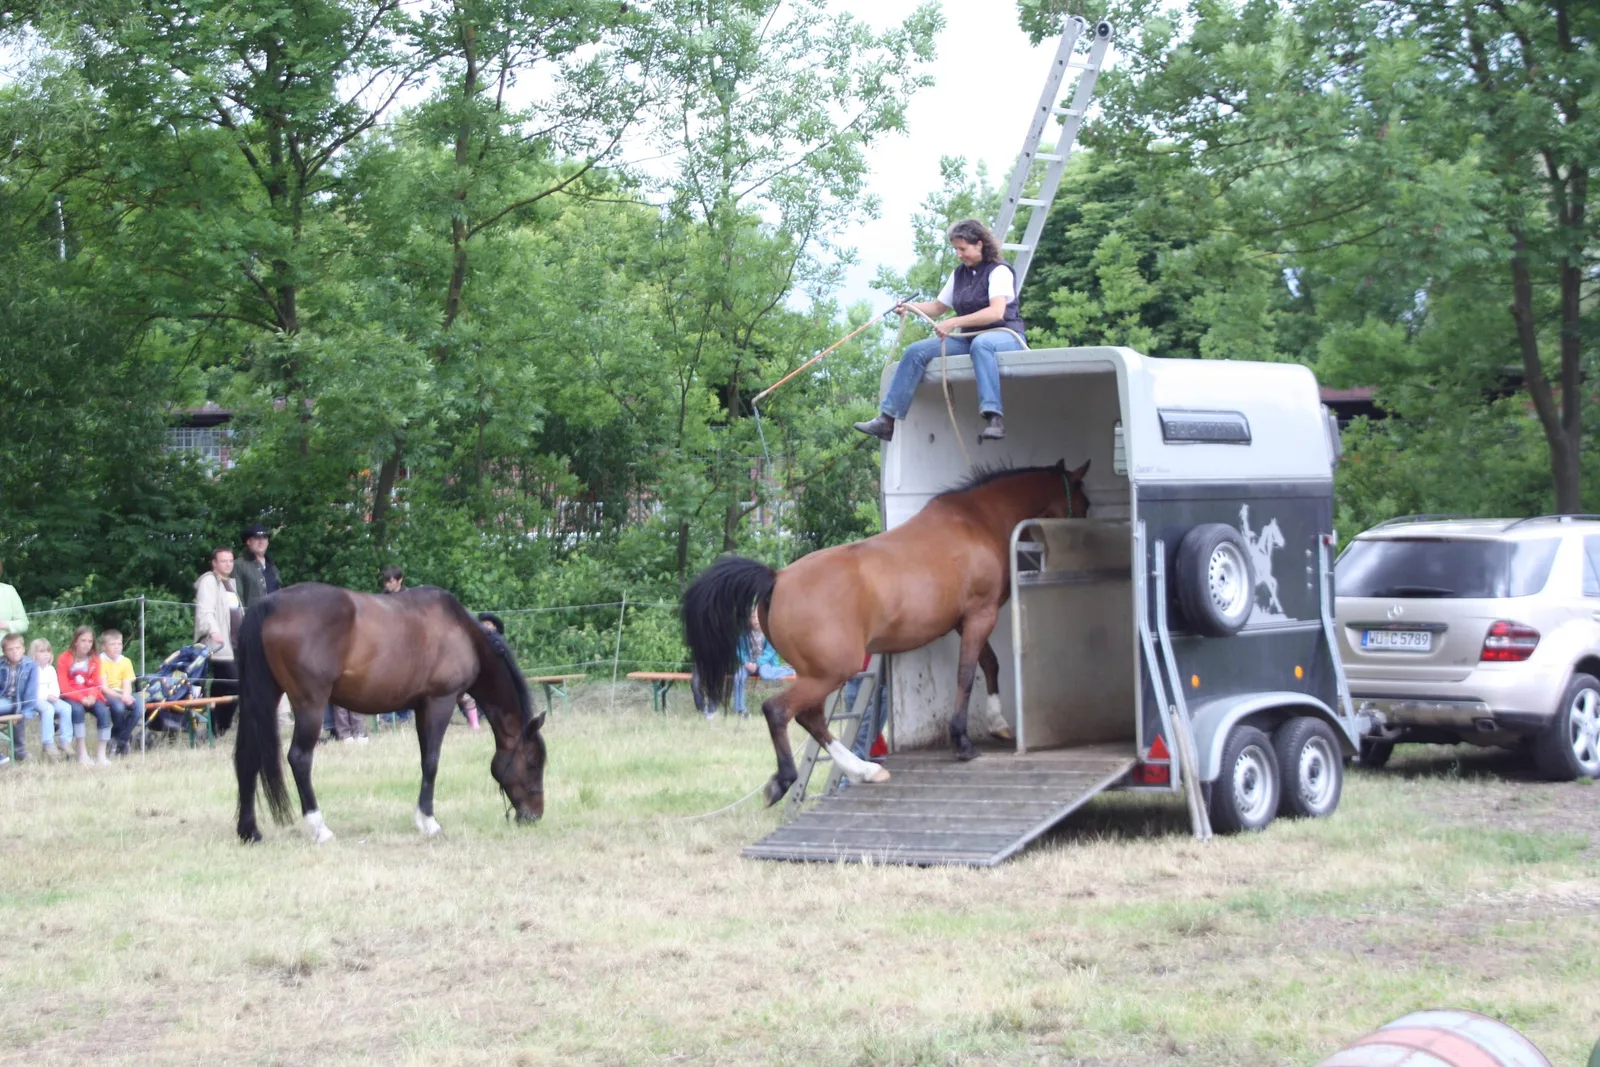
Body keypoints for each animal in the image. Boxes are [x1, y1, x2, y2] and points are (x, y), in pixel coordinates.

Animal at [233, 583, 547, 844]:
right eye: (533, 763)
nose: (535, 816)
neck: (462, 633)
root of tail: (269, 604)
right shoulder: (440, 702)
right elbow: (432, 761)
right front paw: (429, 822)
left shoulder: (421, 707)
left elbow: (424, 759)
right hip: (310, 705)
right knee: (299, 758)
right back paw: (320, 828)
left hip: (263, 699)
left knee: (249, 758)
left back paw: (249, 831)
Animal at [682, 460, 1091, 805]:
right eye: (1084, 504)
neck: (977, 521)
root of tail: (776, 579)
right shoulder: (980, 614)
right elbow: (966, 674)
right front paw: (962, 741)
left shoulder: (966, 620)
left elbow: (989, 665)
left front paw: (999, 725)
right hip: (831, 672)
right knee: (780, 711)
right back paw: (787, 780)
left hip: (816, 674)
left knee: (812, 719)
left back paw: (865, 770)